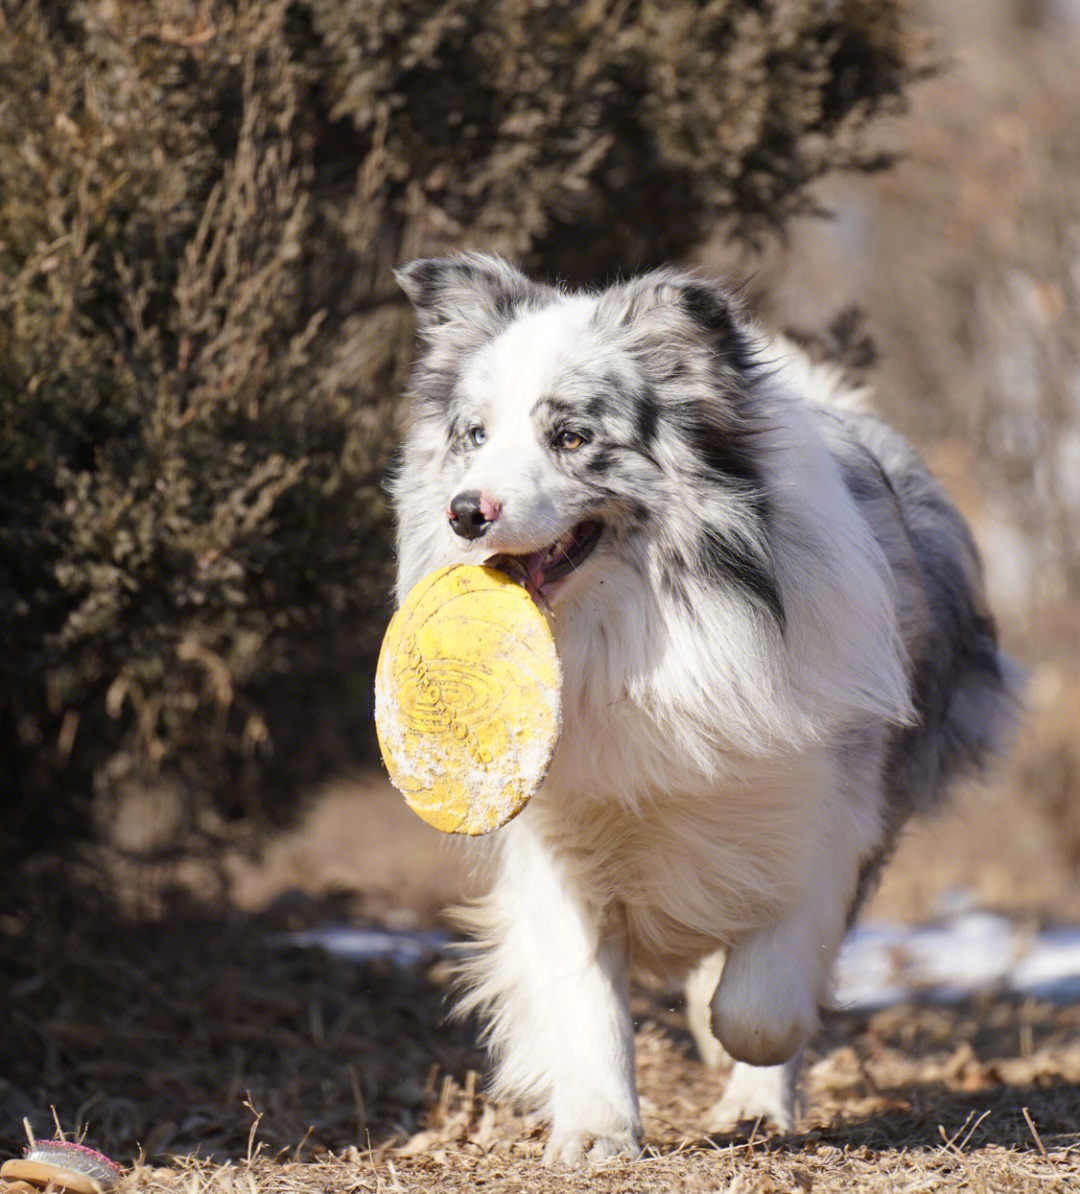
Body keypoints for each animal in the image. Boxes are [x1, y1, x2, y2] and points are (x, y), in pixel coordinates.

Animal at [391, 254, 1016, 1165]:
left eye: (571, 437)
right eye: (474, 435)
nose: (466, 512)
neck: (640, 634)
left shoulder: (826, 808)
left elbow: (763, 1002)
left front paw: (745, 1068)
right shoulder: (558, 835)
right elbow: (585, 997)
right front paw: (597, 1133)